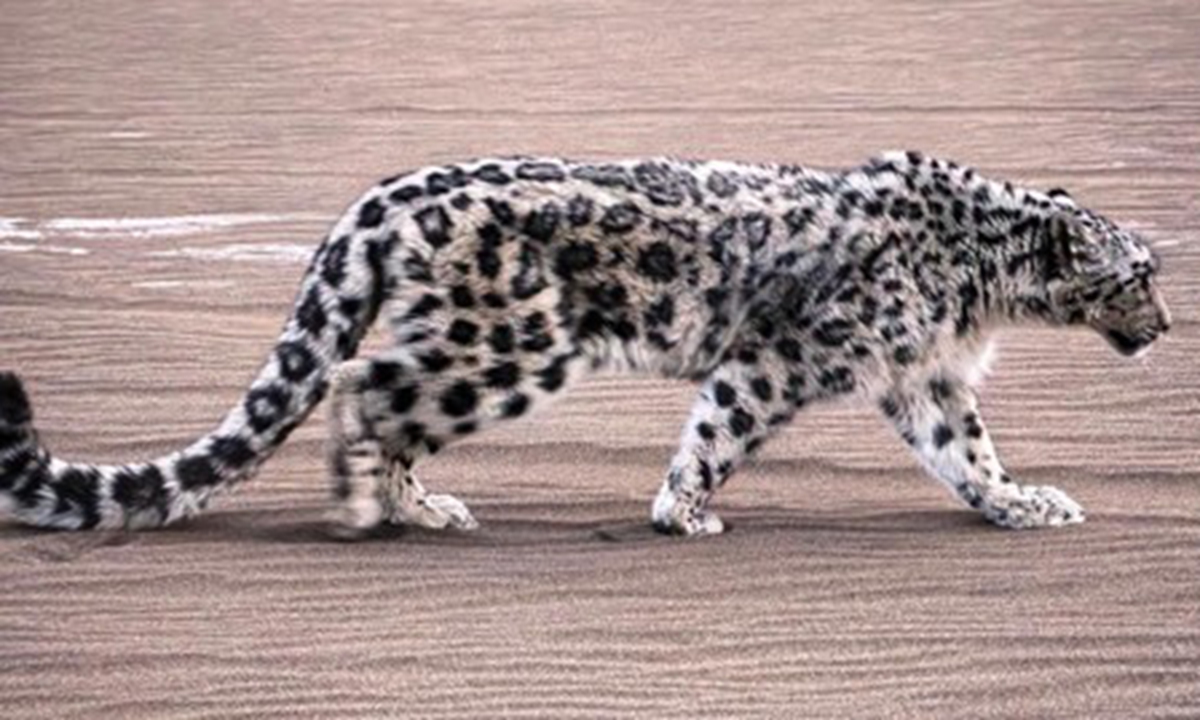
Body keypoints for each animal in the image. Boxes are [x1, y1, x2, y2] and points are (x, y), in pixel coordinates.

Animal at [0, 151, 1172, 537]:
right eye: (1140, 275)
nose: (1167, 328)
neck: (983, 279)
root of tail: (386, 194)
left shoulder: (924, 378)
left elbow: (969, 456)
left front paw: (1024, 503)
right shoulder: (785, 357)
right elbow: (718, 429)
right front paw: (684, 512)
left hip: (480, 346)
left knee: (381, 398)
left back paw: (420, 508)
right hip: (509, 344)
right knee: (363, 385)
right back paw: (371, 510)